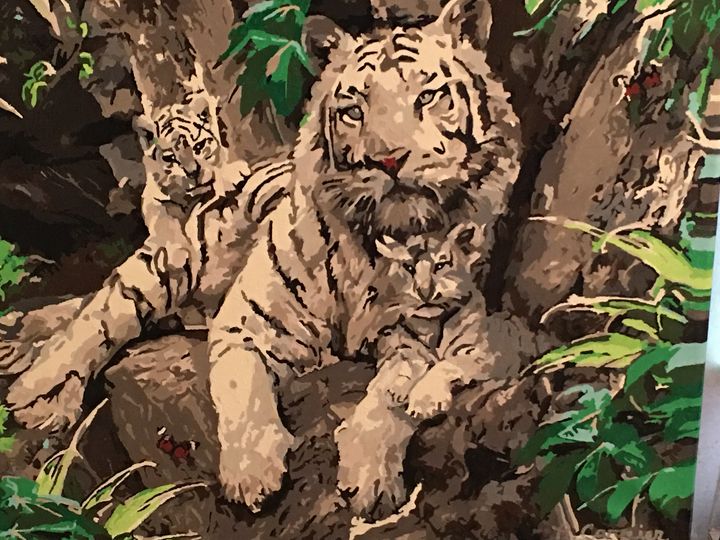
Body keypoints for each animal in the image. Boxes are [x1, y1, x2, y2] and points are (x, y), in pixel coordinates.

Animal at [207, 0, 521, 512]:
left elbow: (390, 396)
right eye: (354, 109)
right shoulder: (245, 322)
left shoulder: (406, 333)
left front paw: (369, 475)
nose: (387, 159)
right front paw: (251, 474)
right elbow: (241, 388)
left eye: (427, 96)